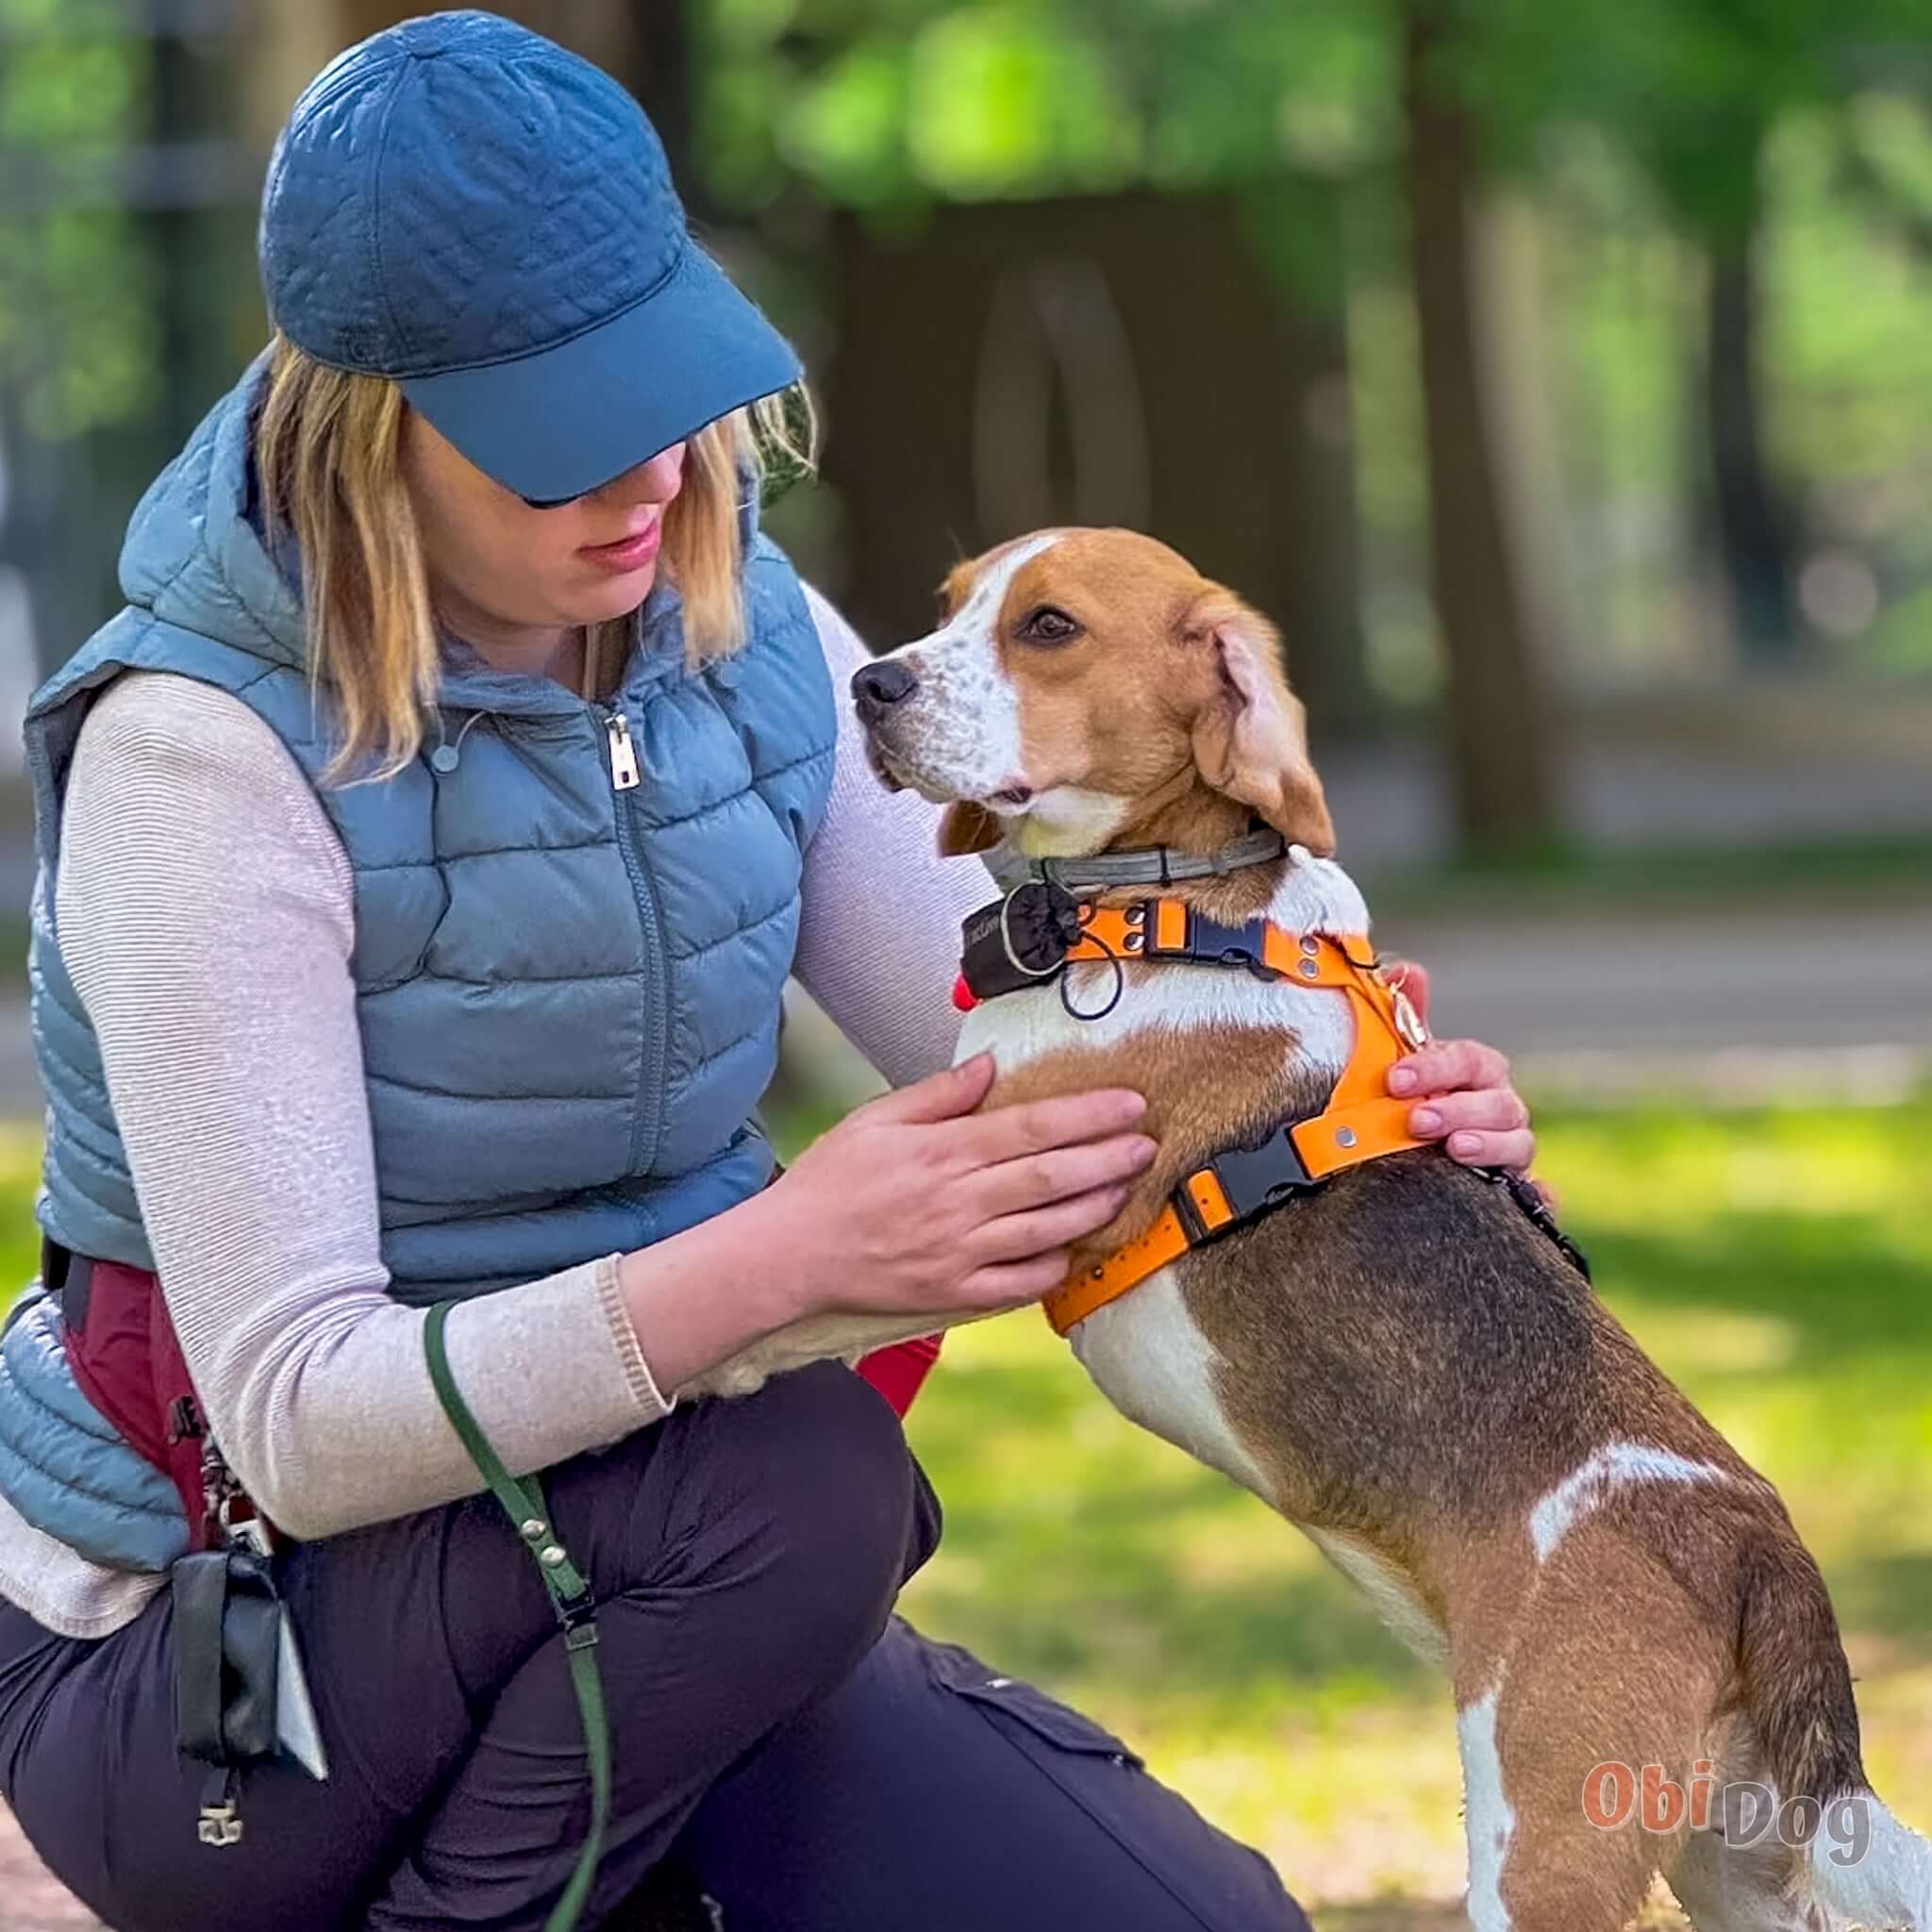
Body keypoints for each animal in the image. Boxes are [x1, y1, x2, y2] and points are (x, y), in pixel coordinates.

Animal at [689, 528, 1932, 1931]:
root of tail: (1757, 1555)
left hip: (1541, 1842)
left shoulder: (986, 1199)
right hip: (1730, 1858)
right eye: (953, 605)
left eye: (1049, 626)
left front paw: (704, 1362)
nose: (870, 688)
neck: (1166, 907)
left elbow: (810, 1283)